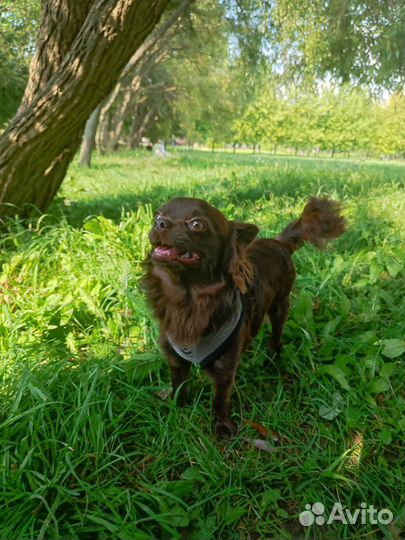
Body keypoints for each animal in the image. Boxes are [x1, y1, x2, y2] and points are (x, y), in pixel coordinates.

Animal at [142, 198, 344, 438]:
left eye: (197, 224)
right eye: (156, 215)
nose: (159, 223)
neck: (187, 301)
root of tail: (279, 243)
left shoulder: (224, 370)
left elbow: (220, 400)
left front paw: (221, 426)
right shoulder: (176, 361)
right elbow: (179, 386)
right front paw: (176, 408)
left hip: (280, 308)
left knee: (276, 339)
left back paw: (273, 361)